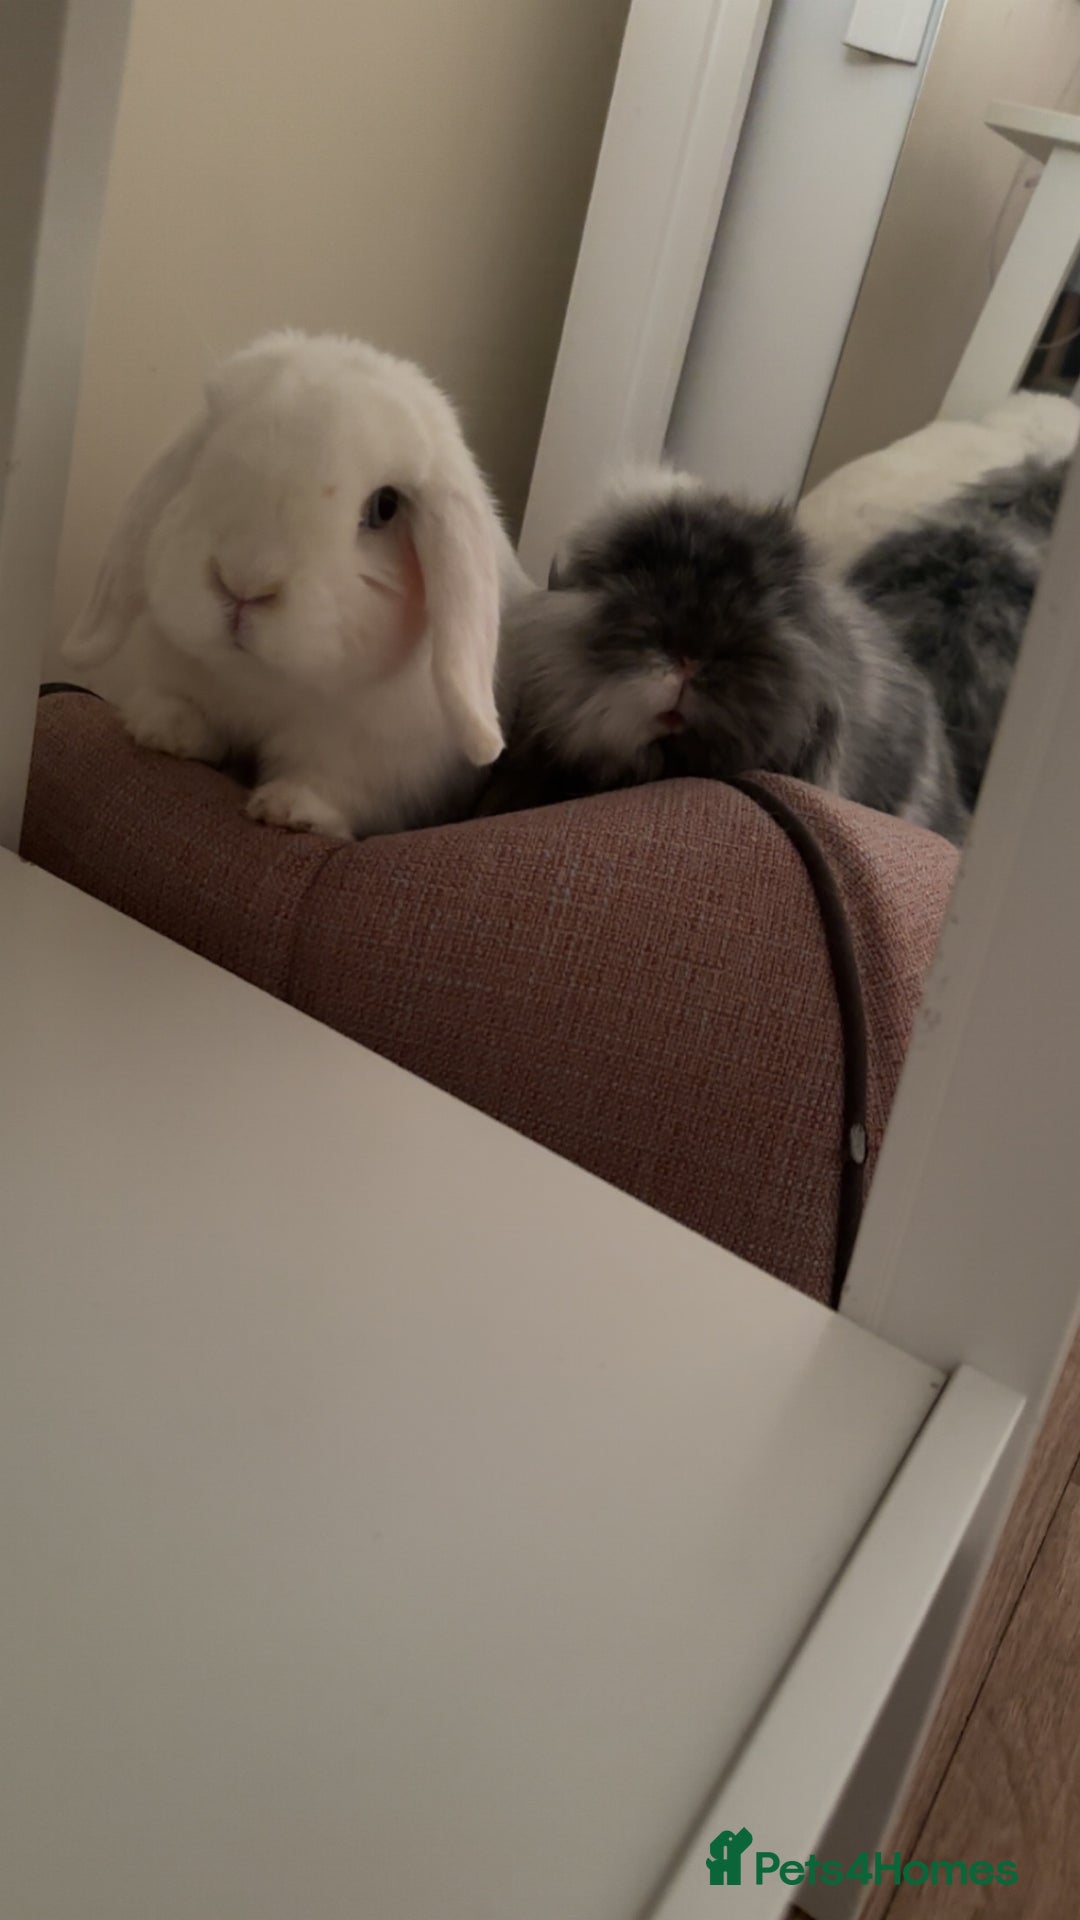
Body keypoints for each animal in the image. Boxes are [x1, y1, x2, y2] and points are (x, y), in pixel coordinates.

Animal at [63, 330, 532, 838]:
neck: (267, 684)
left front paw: (290, 810)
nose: (243, 583)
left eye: (385, 507)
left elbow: (335, 787)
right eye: (208, 457)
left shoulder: (376, 762)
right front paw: (167, 729)